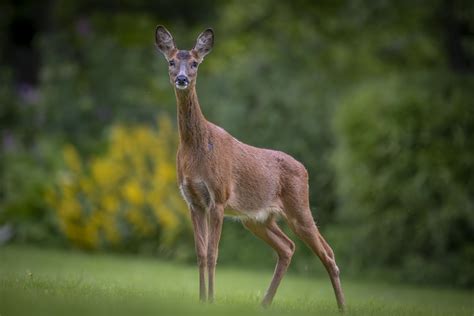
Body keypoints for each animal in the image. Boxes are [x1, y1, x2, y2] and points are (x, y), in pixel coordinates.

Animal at [156, 25, 348, 312]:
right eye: (170, 61)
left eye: (194, 63)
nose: (181, 79)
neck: (196, 148)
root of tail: (305, 169)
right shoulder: (193, 200)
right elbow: (200, 253)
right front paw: (201, 299)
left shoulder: (218, 197)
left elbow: (213, 253)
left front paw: (211, 300)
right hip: (257, 219)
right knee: (287, 247)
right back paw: (265, 303)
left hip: (299, 206)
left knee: (327, 252)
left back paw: (342, 306)